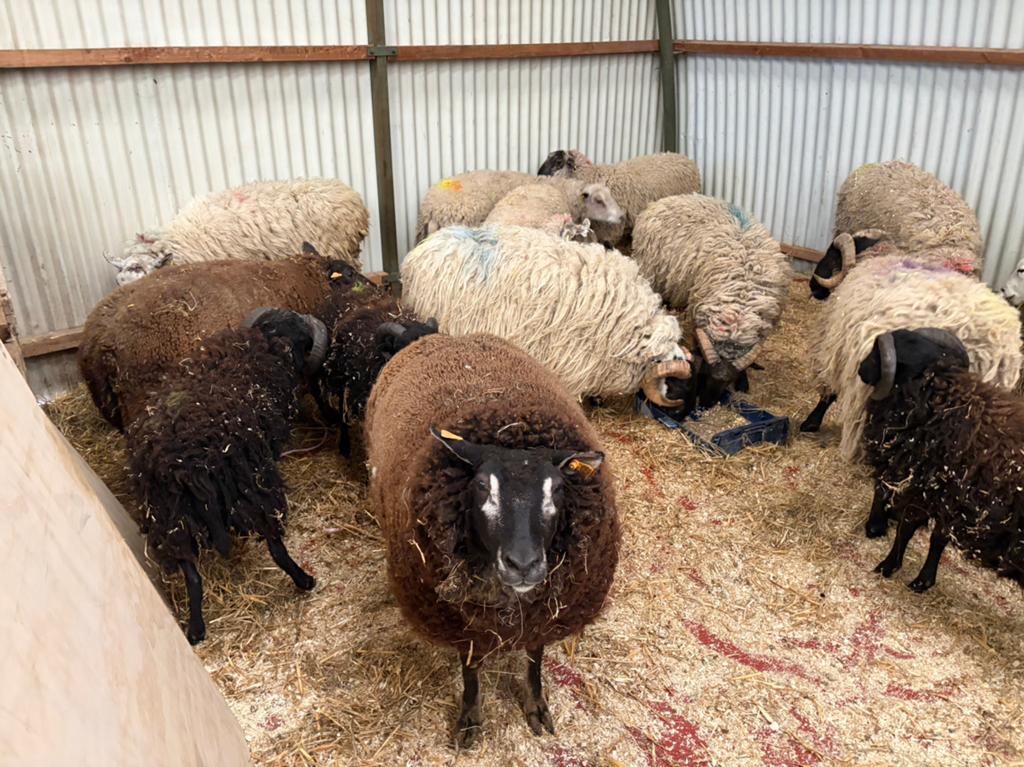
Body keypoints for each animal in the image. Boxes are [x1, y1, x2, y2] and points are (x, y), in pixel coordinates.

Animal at [79, 244, 363, 430]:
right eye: (349, 274)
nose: (372, 286)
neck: (307, 281)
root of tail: (100, 342)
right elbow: (316, 388)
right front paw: (331, 418)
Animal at [127, 308, 327, 643]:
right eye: (303, 340)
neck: (263, 344)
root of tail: (184, 466)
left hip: (169, 515)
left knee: (191, 574)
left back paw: (196, 629)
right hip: (254, 487)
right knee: (275, 547)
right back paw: (304, 580)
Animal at [365, 332, 618, 746]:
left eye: (557, 489)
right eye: (482, 487)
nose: (523, 565)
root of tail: (449, 336)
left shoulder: (544, 615)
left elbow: (535, 659)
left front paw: (536, 705)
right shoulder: (461, 625)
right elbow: (471, 672)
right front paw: (470, 718)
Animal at [631, 194, 791, 412]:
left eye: (728, 381)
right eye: (706, 373)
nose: (707, 404)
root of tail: (668, 198)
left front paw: (744, 382)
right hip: (653, 272)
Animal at [857, 327, 1024, 592]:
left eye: (877, 354)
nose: (861, 368)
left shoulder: (924, 492)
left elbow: (906, 529)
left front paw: (889, 566)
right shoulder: (951, 501)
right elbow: (938, 539)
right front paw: (923, 580)